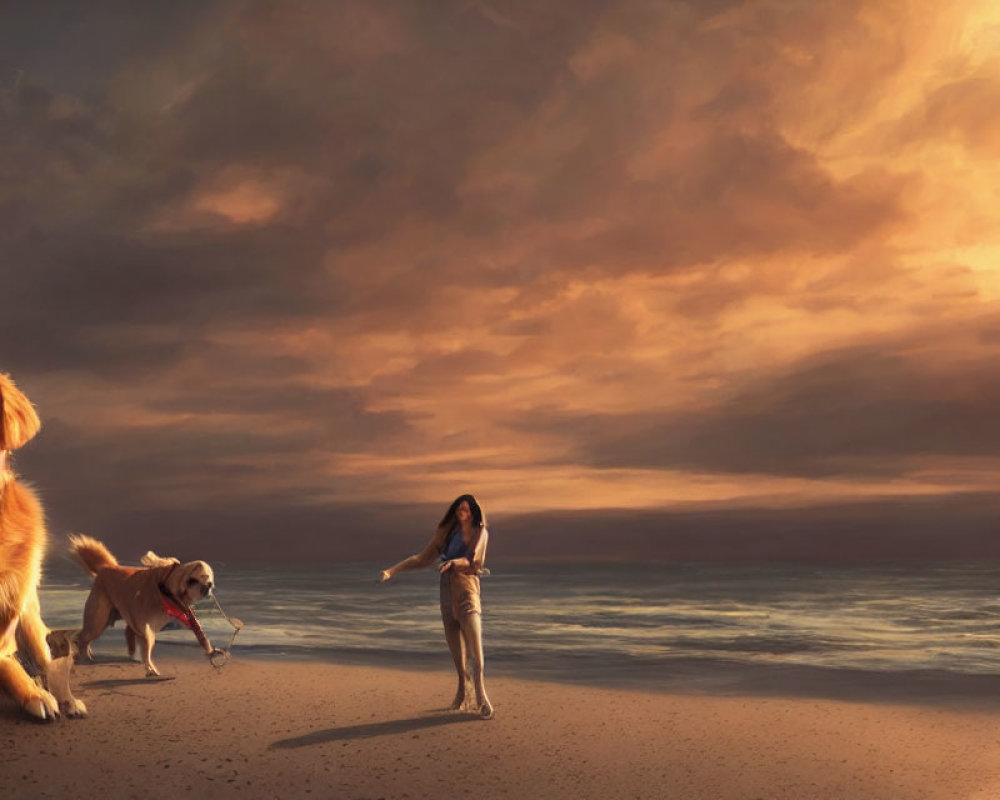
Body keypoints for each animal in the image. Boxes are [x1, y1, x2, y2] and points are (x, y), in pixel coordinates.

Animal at [70, 536, 219, 680]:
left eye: (210, 583)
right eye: (204, 581)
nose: (209, 587)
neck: (167, 584)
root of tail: (105, 568)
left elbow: (195, 627)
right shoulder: (145, 627)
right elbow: (146, 649)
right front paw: (151, 670)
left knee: (95, 636)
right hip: (98, 621)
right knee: (83, 637)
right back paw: (84, 656)